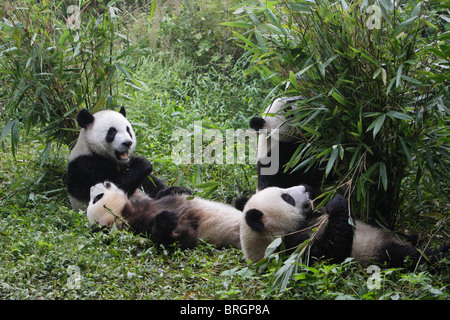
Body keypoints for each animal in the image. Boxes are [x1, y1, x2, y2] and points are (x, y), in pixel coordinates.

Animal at [87, 181, 243, 249]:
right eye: (96, 199)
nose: (94, 185)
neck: (127, 211)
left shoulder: (152, 202)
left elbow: (165, 194)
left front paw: (180, 189)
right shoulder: (138, 227)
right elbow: (180, 240)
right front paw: (168, 218)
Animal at [241, 186, 448, 268]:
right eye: (287, 198)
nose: (306, 187)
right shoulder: (295, 250)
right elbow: (333, 253)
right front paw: (337, 203)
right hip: (377, 251)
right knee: (407, 256)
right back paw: (440, 254)